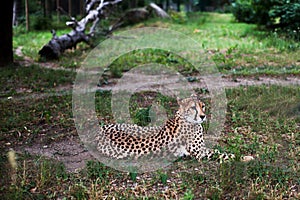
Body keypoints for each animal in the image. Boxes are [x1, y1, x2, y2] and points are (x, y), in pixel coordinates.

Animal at [95, 94, 233, 165]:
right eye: (193, 108)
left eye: (202, 106)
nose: (203, 116)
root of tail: (102, 129)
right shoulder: (198, 152)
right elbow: (218, 153)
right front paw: (233, 156)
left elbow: (216, 149)